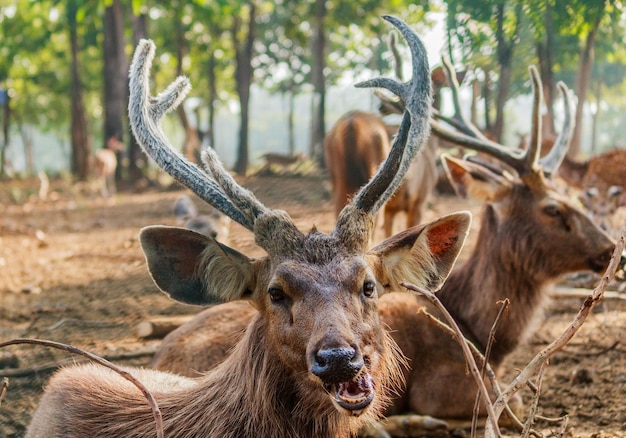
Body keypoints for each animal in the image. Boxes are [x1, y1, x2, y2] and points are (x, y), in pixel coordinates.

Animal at [149, 57, 612, 434]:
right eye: (554, 209)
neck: (481, 335)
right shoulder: (449, 382)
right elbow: (509, 406)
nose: (610, 249)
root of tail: (158, 358)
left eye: (369, 286)